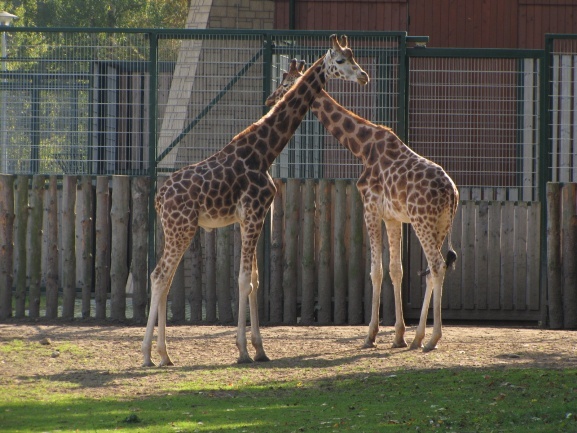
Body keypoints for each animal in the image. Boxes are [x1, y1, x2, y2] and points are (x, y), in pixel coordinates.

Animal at [141, 35, 366, 364]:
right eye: (340, 61)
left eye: (354, 57)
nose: (364, 76)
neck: (265, 152)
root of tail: (159, 197)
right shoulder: (254, 213)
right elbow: (244, 279)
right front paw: (244, 351)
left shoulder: (252, 217)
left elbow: (256, 281)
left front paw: (260, 349)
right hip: (181, 229)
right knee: (158, 277)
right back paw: (150, 354)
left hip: (176, 230)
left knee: (164, 279)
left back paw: (164, 355)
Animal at [266, 54, 460, 352]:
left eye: (286, 83)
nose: (271, 100)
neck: (362, 147)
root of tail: (452, 193)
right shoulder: (392, 217)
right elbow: (396, 270)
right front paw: (399, 336)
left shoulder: (370, 207)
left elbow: (375, 271)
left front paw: (371, 335)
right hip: (439, 225)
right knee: (432, 270)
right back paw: (418, 337)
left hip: (423, 221)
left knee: (437, 265)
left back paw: (432, 339)